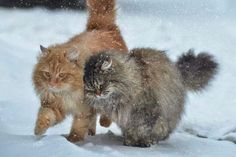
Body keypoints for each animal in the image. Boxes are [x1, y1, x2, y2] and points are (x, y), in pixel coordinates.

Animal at [32, 0, 128, 142]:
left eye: (62, 75)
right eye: (47, 74)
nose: (52, 84)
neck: (67, 93)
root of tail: (101, 27)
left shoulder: (84, 109)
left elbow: (78, 126)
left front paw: (72, 141)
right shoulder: (55, 104)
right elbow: (45, 116)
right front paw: (39, 130)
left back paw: (104, 122)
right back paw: (91, 132)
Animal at [82, 47, 218, 147]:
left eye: (101, 84)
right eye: (90, 88)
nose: (97, 94)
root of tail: (177, 71)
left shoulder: (146, 110)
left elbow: (142, 128)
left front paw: (141, 141)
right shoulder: (124, 117)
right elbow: (129, 129)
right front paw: (129, 140)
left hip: (167, 115)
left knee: (164, 131)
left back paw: (154, 139)